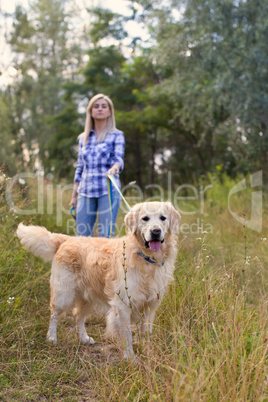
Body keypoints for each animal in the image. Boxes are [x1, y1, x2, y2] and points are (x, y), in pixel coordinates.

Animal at [16, 201, 180, 358]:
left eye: (163, 218)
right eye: (145, 218)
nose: (156, 231)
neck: (145, 258)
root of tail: (67, 239)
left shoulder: (151, 305)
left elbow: (146, 332)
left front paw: (147, 352)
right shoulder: (123, 305)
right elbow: (127, 335)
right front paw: (130, 357)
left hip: (88, 298)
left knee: (78, 316)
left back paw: (84, 338)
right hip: (64, 294)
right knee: (54, 315)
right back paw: (51, 338)